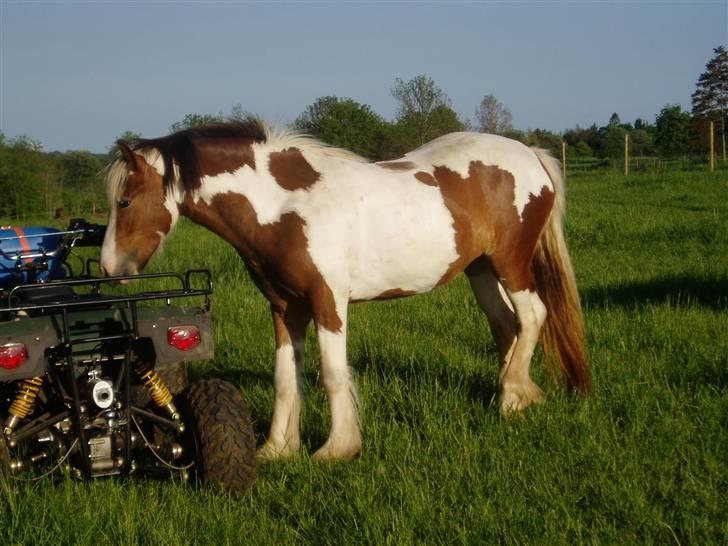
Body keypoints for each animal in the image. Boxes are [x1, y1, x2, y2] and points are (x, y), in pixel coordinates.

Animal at [101, 118, 592, 460]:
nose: (108, 267)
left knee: (533, 316)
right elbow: (285, 378)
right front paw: (277, 449)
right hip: (482, 270)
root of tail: (530, 155)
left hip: (512, 263)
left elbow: (333, 374)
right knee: (507, 324)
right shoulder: (284, 308)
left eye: (124, 201)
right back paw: (517, 396)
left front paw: (337, 448)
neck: (283, 205)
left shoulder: (327, 302)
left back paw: (511, 396)